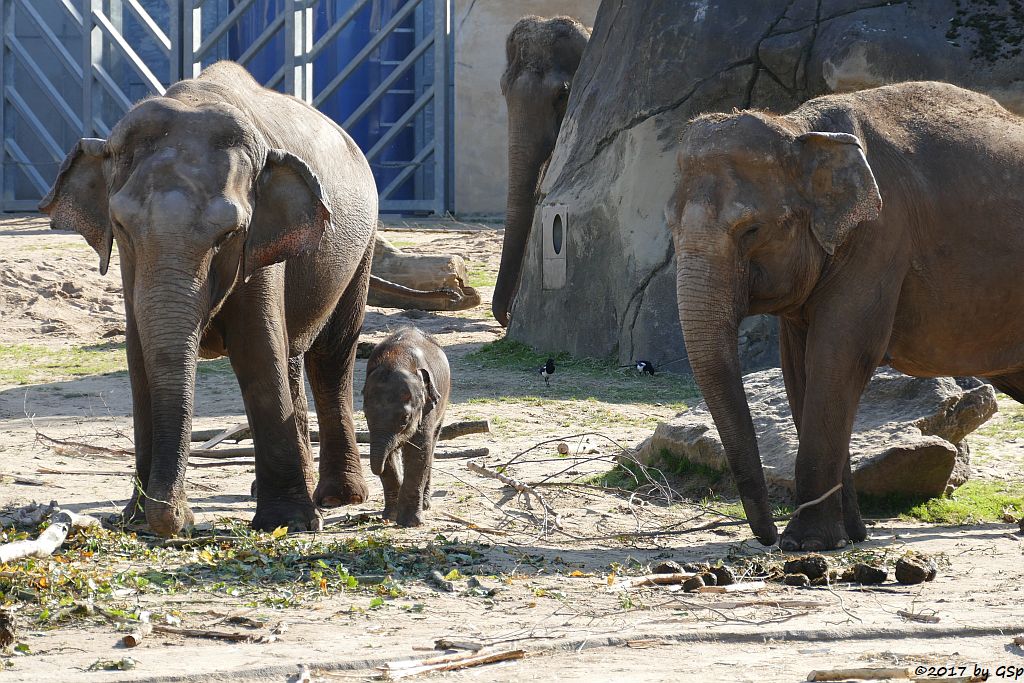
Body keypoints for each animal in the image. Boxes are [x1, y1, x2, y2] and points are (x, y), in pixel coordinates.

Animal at [38, 60, 380, 540]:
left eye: (228, 234)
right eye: (121, 226)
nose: (181, 521)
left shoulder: (262, 247)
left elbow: (258, 353)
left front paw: (288, 523)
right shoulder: (130, 270)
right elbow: (140, 359)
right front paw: (136, 520)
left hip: (362, 246)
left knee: (331, 356)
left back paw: (337, 498)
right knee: (293, 357)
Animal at [366, 327, 450, 528]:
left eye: (404, 419)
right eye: (366, 415)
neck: (396, 359)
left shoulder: (427, 407)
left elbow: (419, 452)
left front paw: (410, 523)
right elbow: (389, 456)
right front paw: (391, 516)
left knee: (431, 447)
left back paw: (425, 504)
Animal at [667, 80, 1024, 552]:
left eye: (752, 230)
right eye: (670, 228)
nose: (767, 536)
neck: (800, 128)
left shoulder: (880, 236)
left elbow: (839, 354)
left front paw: (806, 544)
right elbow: (799, 370)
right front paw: (844, 535)